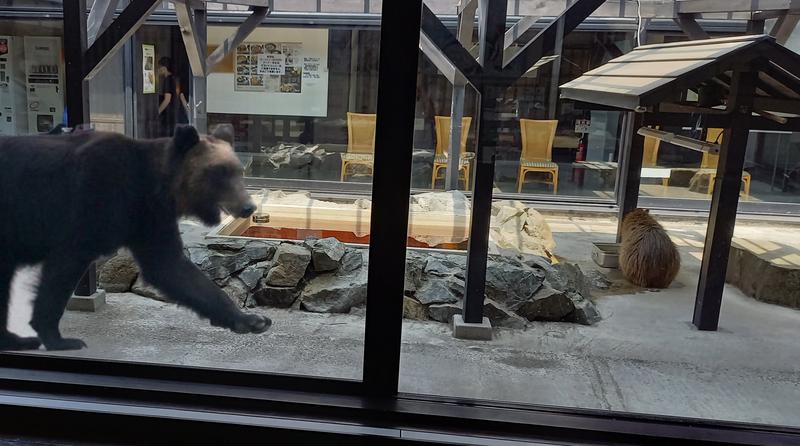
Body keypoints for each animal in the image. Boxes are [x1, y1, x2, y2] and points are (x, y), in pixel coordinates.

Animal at [0, 123, 270, 350]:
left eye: (238, 171)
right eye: (218, 173)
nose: (248, 207)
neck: (151, 187)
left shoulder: (148, 219)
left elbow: (171, 268)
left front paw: (252, 320)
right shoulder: (94, 202)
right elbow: (63, 269)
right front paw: (60, 338)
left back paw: (14, 339)